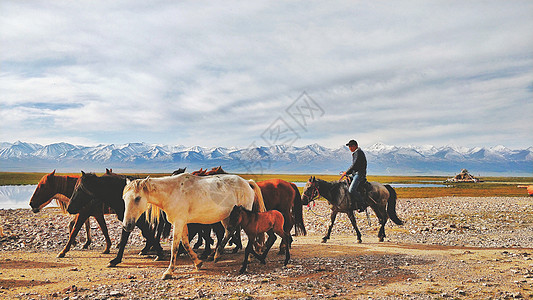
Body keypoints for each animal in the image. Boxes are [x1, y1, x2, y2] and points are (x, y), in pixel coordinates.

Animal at [121, 172, 264, 280]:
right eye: (124, 199)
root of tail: (247, 182)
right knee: (229, 231)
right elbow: (185, 243)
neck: (172, 192)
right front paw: (198, 263)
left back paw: (249, 256)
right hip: (227, 216)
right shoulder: (182, 223)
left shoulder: (178, 223)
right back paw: (217, 255)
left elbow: (175, 247)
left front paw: (169, 272)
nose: (127, 225)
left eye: (137, 198)